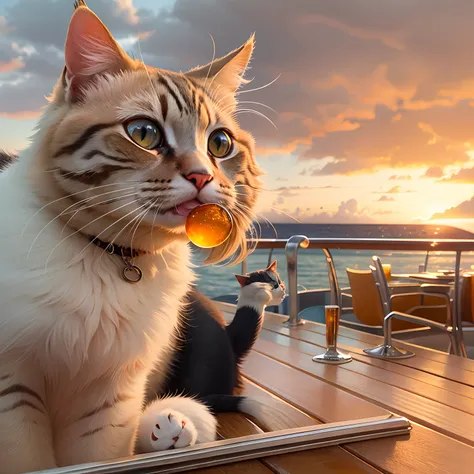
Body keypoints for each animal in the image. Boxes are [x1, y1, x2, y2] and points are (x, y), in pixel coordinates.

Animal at [0, 1, 286, 472]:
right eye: (143, 134)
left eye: (220, 143)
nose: (202, 176)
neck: (115, 257)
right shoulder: (14, 385)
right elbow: (28, 458)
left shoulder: (113, 391)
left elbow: (100, 455)